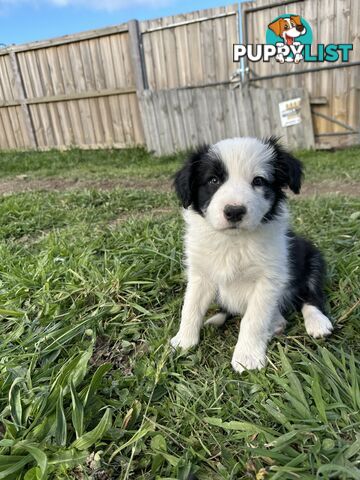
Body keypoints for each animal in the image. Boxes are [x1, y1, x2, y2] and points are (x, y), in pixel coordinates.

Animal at [171, 137, 332, 374]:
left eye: (258, 181)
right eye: (213, 180)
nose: (234, 211)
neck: (234, 241)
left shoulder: (268, 279)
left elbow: (253, 320)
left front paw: (247, 357)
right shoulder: (200, 274)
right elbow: (190, 307)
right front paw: (183, 341)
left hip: (312, 259)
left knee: (310, 296)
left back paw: (316, 322)